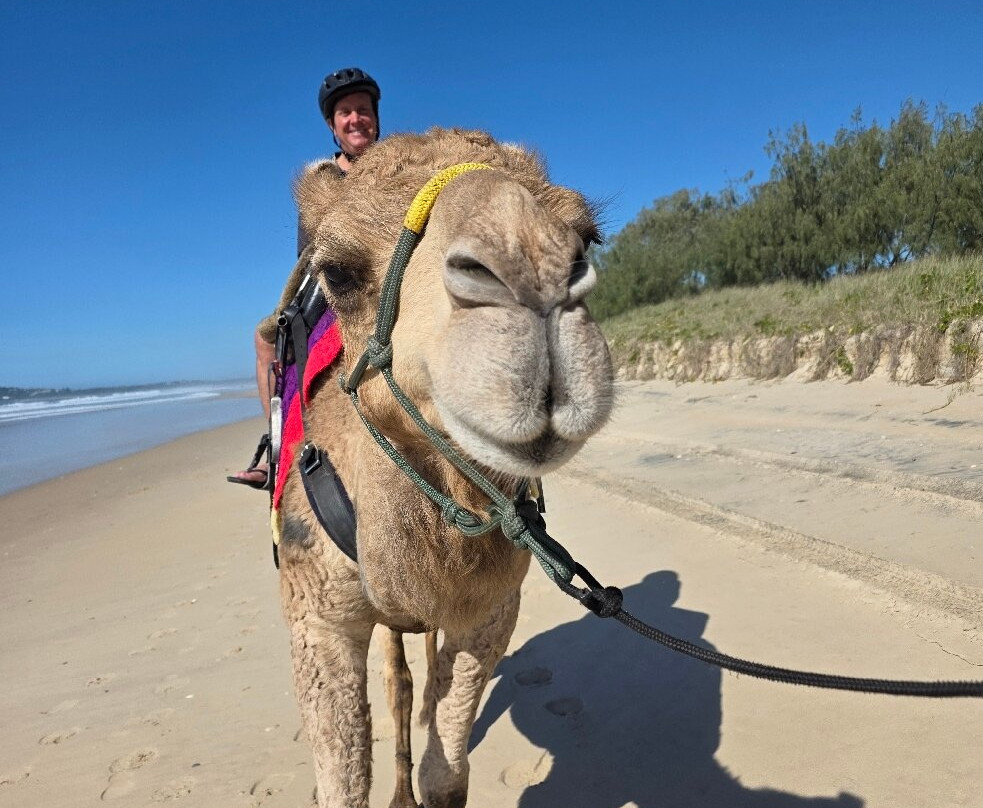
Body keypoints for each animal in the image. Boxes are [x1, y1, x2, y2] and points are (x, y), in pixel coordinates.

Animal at [274, 127, 614, 808]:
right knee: (399, 679)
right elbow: (344, 783)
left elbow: (446, 774)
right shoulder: (316, 613)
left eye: (588, 237)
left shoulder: (491, 604)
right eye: (337, 272)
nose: (528, 259)